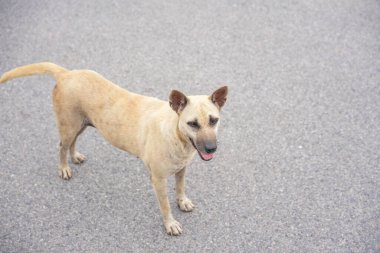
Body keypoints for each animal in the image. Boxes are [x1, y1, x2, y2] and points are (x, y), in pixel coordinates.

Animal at [0, 62, 229, 235]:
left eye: (213, 120)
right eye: (193, 124)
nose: (212, 148)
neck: (176, 134)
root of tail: (67, 73)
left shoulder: (181, 169)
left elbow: (180, 188)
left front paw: (182, 201)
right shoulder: (158, 179)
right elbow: (165, 205)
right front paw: (170, 223)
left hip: (82, 124)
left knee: (72, 143)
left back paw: (75, 157)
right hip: (69, 126)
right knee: (61, 147)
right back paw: (64, 167)